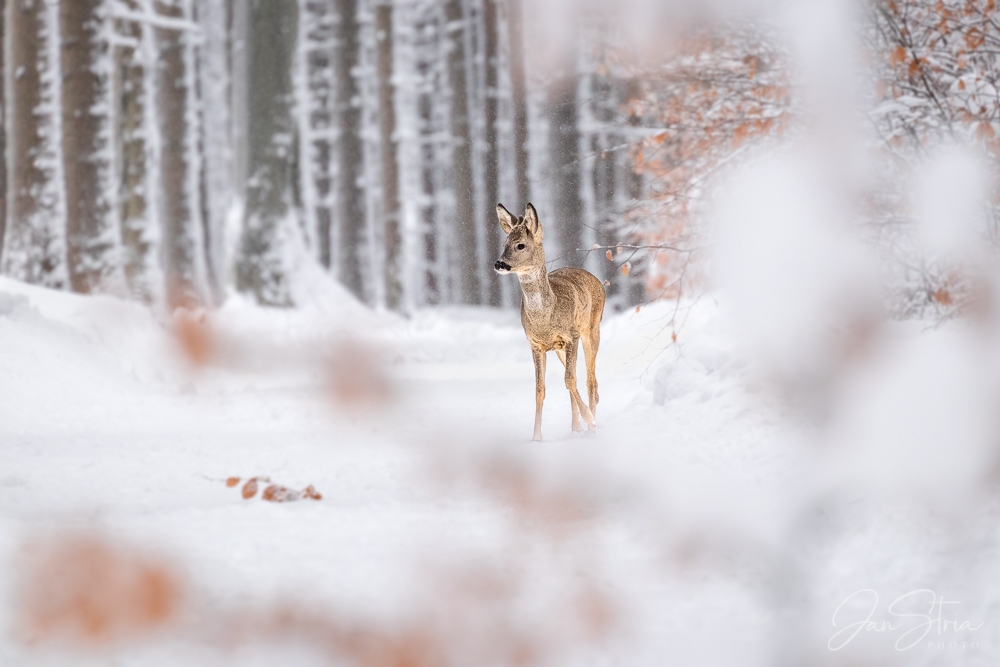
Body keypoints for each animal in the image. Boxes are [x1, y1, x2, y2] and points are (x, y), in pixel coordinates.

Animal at [494, 204, 604, 444]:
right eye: (504, 244)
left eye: (520, 245)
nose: (499, 263)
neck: (545, 317)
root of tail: (597, 280)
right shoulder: (536, 344)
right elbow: (540, 390)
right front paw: (536, 438)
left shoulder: (571, 335)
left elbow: (569, 381)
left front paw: (590, 421)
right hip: (560, 349)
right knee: (579, 380)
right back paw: (575, 428)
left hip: (592, 329)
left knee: (591, 381)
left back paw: (591, 425)